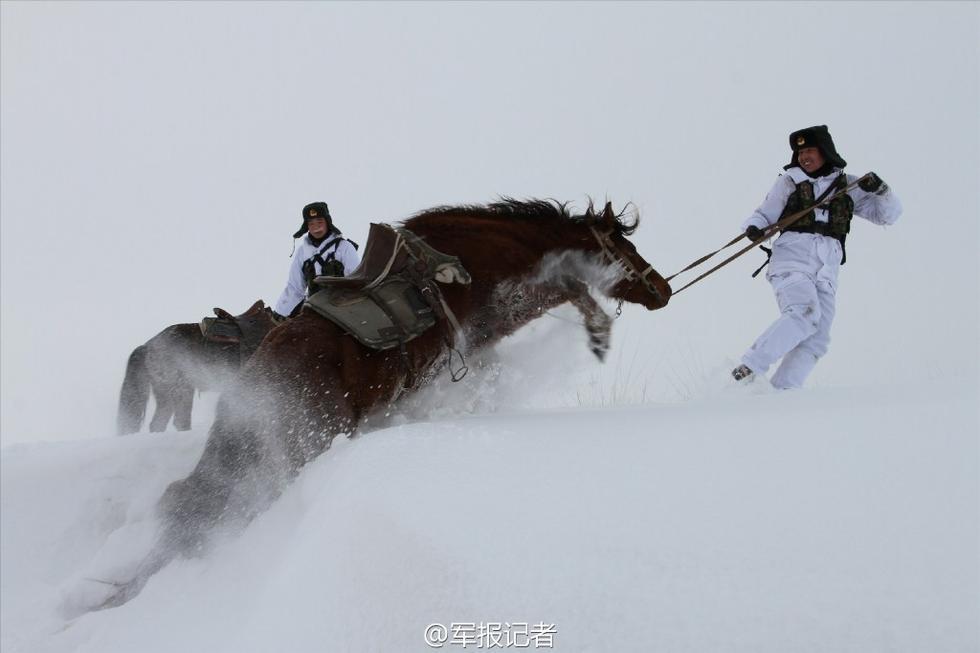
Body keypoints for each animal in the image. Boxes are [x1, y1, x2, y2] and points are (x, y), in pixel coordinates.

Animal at [95, 197, 668, 608]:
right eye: (626, 251)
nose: (661, 288)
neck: (463, 259)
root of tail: (253, 388)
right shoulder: (503, 305)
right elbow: (572, 285)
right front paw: (598, 335)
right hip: (297, 449)